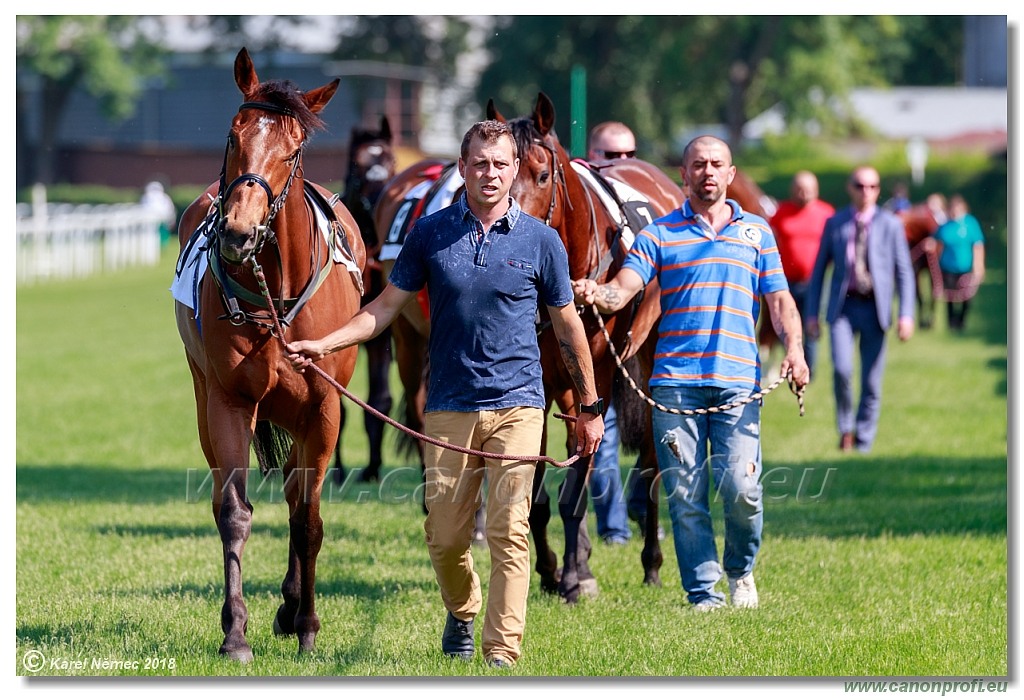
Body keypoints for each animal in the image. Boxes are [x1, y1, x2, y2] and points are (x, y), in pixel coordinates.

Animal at [174, 47, 366, 654]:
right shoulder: (230, 400)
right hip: (204, 395)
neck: (276, 294)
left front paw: (306, 624)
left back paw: (292, 605)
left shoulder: (324, 408)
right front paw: (235, 631)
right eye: (233, 135)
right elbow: (233, 513)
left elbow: (307, 519)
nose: (236, 232)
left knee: (296, 495)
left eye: (294, 147)